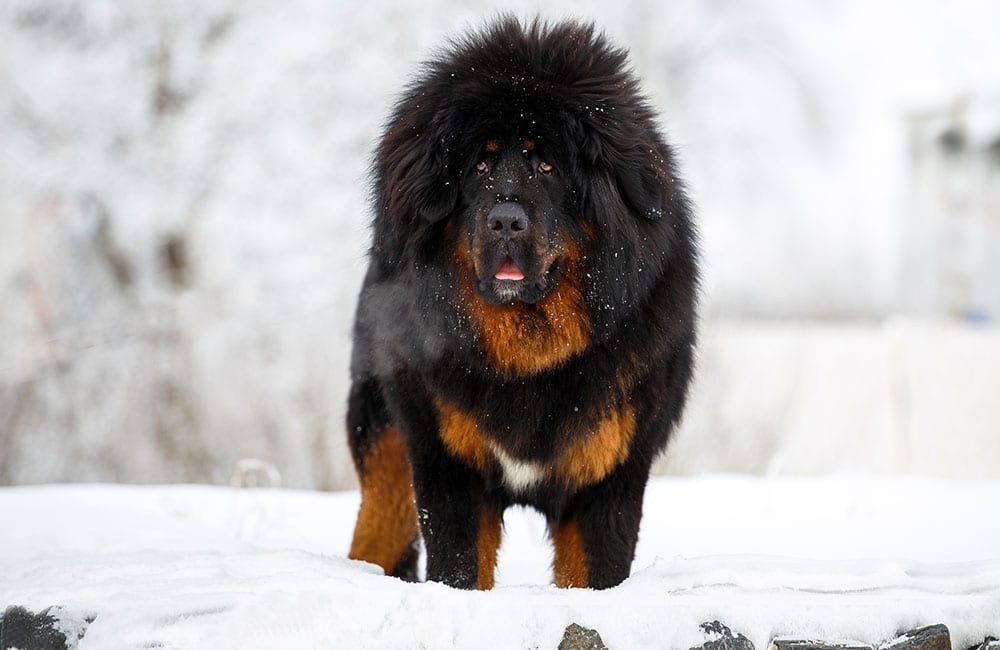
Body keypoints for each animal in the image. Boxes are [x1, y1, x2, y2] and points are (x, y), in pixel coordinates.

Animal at [344, 19, 696, 588]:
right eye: (480, 165)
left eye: (548, 166)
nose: (506, 220)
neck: (529, 354)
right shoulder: (447, 464)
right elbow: (459, 568)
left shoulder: (608, 474)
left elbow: (594, 572)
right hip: (385, 440)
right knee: (379, 523)